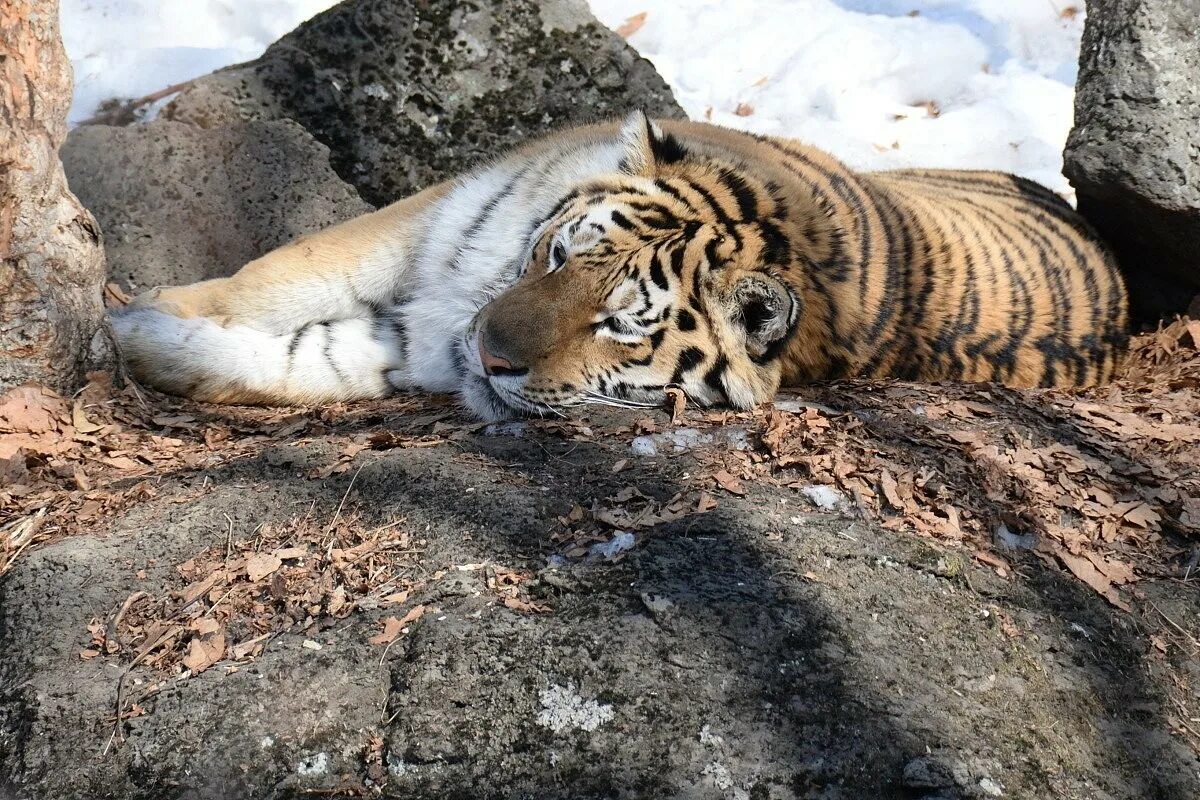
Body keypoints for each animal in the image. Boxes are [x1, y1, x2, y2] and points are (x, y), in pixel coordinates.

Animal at [108, 113, 1128, 424]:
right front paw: (144, 317)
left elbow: (305, 360)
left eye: (618, 323)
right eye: (557, 254)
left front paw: (138, 338)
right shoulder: (429, 218)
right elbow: (283, 277)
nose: (488, 354)